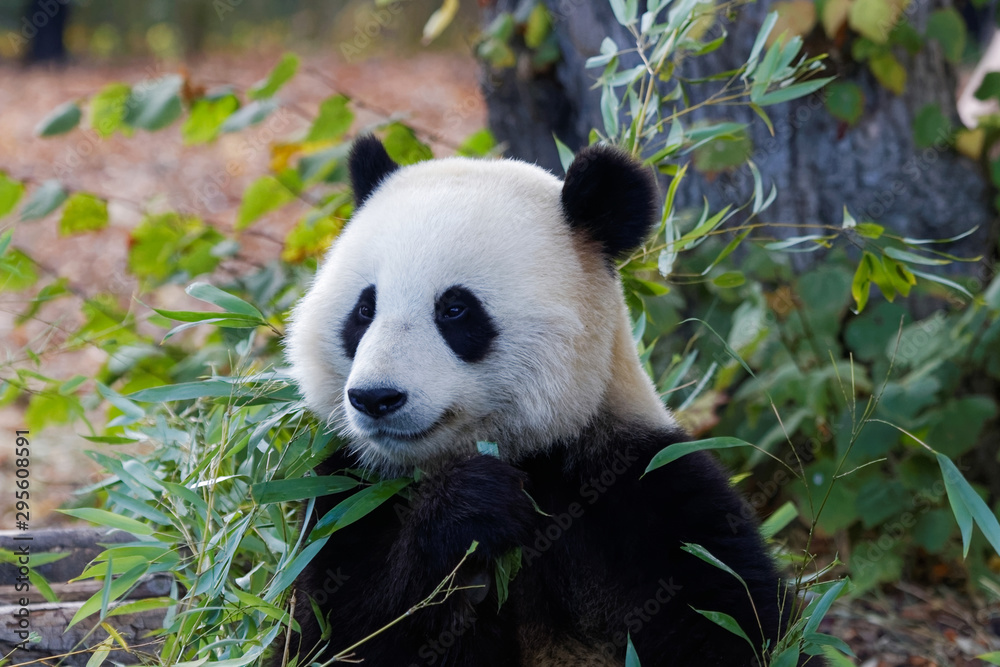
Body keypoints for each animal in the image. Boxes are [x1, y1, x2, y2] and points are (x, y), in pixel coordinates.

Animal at [278, 134, 808, 666]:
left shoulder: (646, 493)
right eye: (364, 310)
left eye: (455, 309)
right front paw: (471, 508)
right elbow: (334, 634)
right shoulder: (347, 497)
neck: (527, 457)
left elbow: (733, 619)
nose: (376, 398)